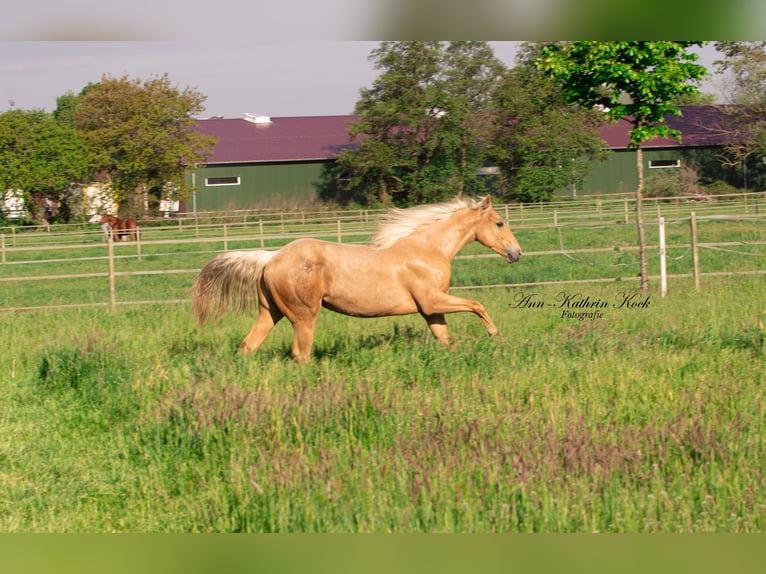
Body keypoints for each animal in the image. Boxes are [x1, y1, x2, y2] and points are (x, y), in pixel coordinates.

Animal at [192, 195, 522, 363]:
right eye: (499, 223)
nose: (516, 253)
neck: (427, 250)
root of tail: (270, 258)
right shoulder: (432, 300)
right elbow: (477, 304)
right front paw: (493, 334)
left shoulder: (431, 309)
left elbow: (443, 337)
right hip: (303, 316)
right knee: (301, 353)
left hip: (270, 312)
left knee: (249, 345)